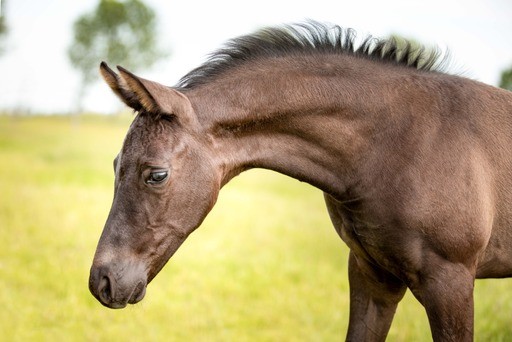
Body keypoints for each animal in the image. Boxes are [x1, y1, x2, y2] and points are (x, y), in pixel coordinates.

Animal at [88, 22, 512, 340]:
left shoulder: (451, 283)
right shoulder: (372, 276)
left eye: (156, 174)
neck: (394, 145)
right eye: (115, 165)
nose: (101, 282)